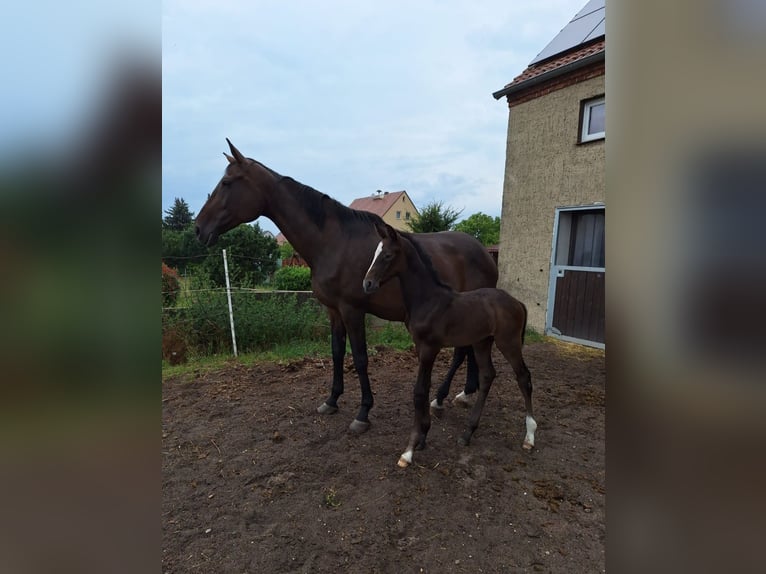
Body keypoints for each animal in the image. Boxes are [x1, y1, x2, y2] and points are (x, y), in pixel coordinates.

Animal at [364, 223, 536, 470]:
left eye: (387, 255)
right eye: (375, 254)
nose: (367, 284)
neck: (428, 299)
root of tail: (517, 302)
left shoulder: (429, 348)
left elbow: (418, 392)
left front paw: (409, 451)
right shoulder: (421, 348)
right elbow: (425, 389)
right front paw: (423, 438)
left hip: (508, 342)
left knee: (523, 377)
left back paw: (529, 436)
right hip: (482, 342)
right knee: (487, 375)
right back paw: (467, 433)